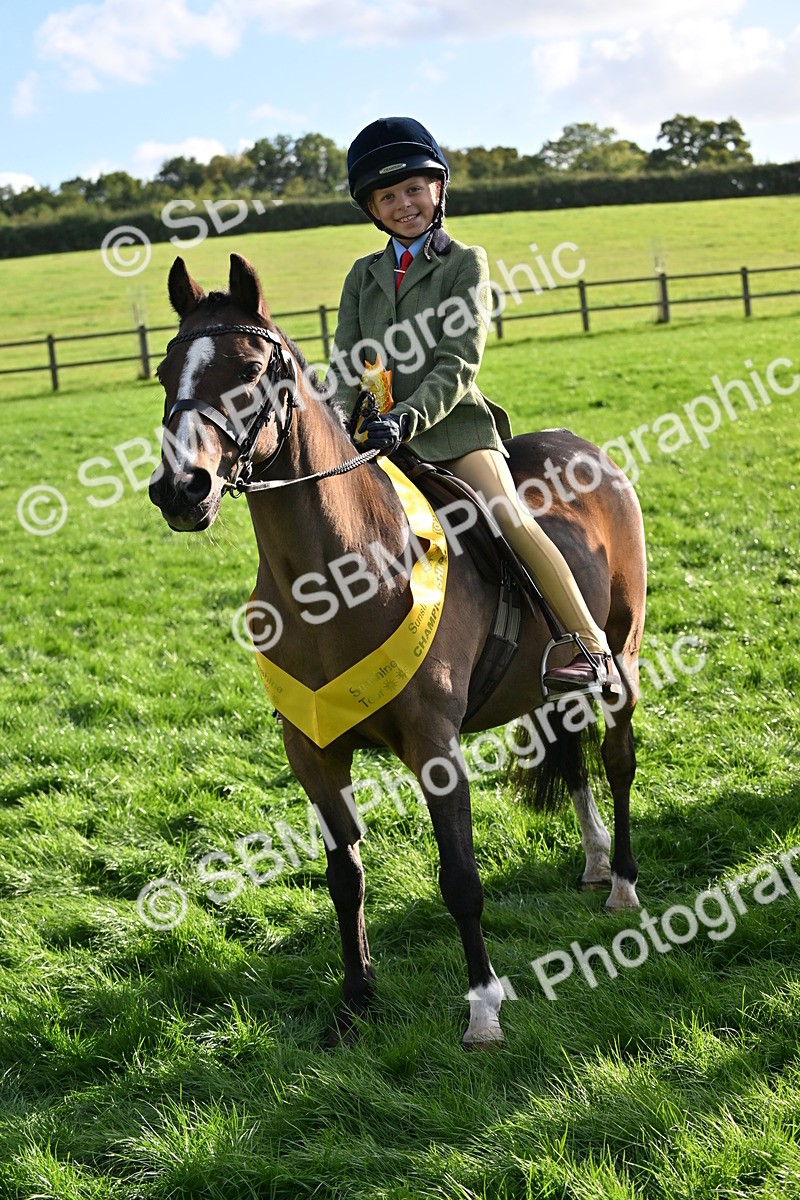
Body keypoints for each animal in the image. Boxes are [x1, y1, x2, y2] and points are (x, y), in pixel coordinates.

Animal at [148, 252, 647, 1048]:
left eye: (251, 368)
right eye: (167, 371)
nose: (181, 488)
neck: (339, 576)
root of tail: (584, 446)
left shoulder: (435, 747)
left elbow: (461, 879)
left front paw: (482, 1010)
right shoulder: (312, 753)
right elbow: (344, 875)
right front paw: (356, 1000)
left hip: (621, 656)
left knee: (617, 758)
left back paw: (623, 882)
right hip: (547, 690)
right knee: (572, 755)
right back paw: (597, 862)